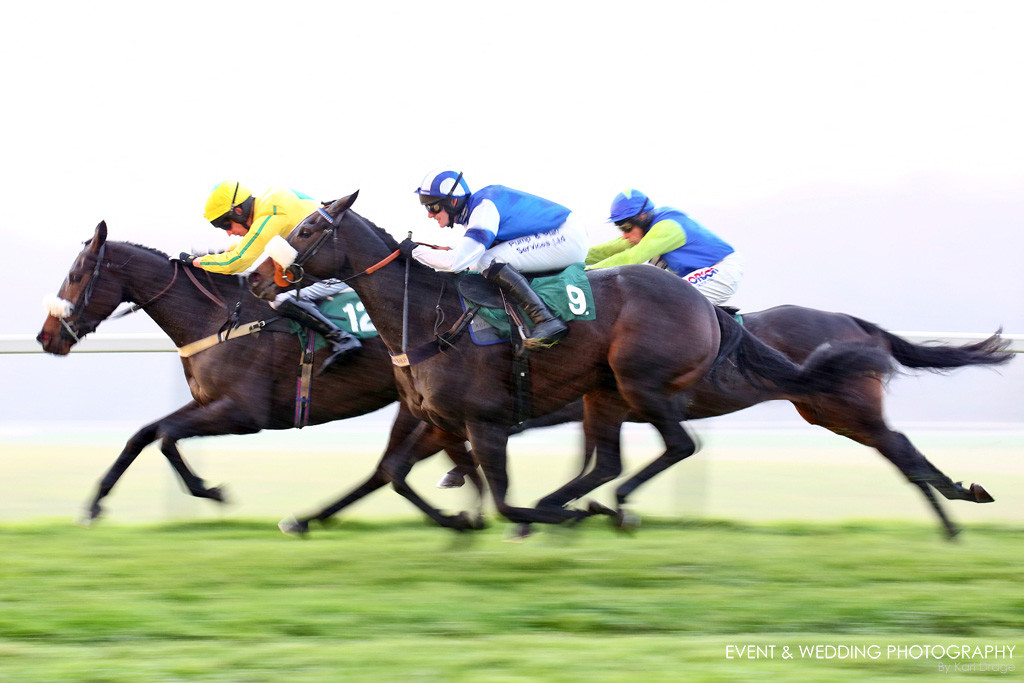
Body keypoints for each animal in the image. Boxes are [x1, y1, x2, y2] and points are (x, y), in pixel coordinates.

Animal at [38, 222, 483, 528]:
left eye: (75, 276)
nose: (46, 337)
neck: (216, 318)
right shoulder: (208, 401)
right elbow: (144, 434)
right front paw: (94, 505)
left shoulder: (244, 413)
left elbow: (166, 436)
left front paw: (211, 491)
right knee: (390, 468)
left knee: (394, 467)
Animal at [245, 192, 888, 528]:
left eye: (307, 228)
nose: (255, 279)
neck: (428, 318)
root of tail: (706, 306)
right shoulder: (440, 419)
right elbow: (402, 476)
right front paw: (461, 521)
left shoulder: (485, 421)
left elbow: (504, 500)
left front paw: (538, 519)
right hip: (604, 393)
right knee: (607, 463)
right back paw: (585, 503)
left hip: (642, 383)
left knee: (677, 446)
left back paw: (607, 508)